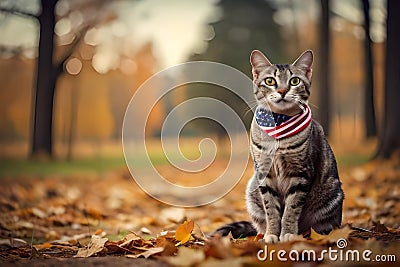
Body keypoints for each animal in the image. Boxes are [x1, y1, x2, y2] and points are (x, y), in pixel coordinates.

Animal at [212, 49, 344, 244]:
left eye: (294, 81)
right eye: (270, 81)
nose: (282, 91)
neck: (279, 122)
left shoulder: (300, 174)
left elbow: (291, 208)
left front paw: (288, 233)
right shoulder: (264, 174)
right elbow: (271, 210)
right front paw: (272, 234)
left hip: (331, 197)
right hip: (252, 193)